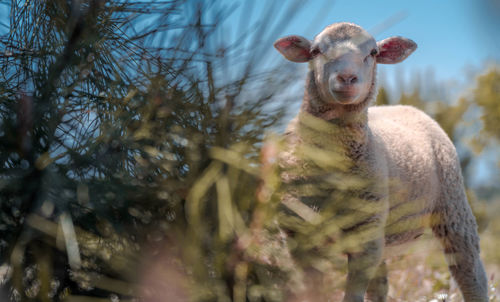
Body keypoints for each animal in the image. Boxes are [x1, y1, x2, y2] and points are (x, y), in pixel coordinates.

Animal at [274, 21, 488, 302]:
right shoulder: (299, 234)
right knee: (380, 286)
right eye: (317, 50)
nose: (347, 78)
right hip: (384, 234)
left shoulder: (366, 235)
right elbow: (312, 290)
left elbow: (352, 295)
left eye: (373, 52)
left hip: (452, 204)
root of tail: (405, 107)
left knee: (470, 271)